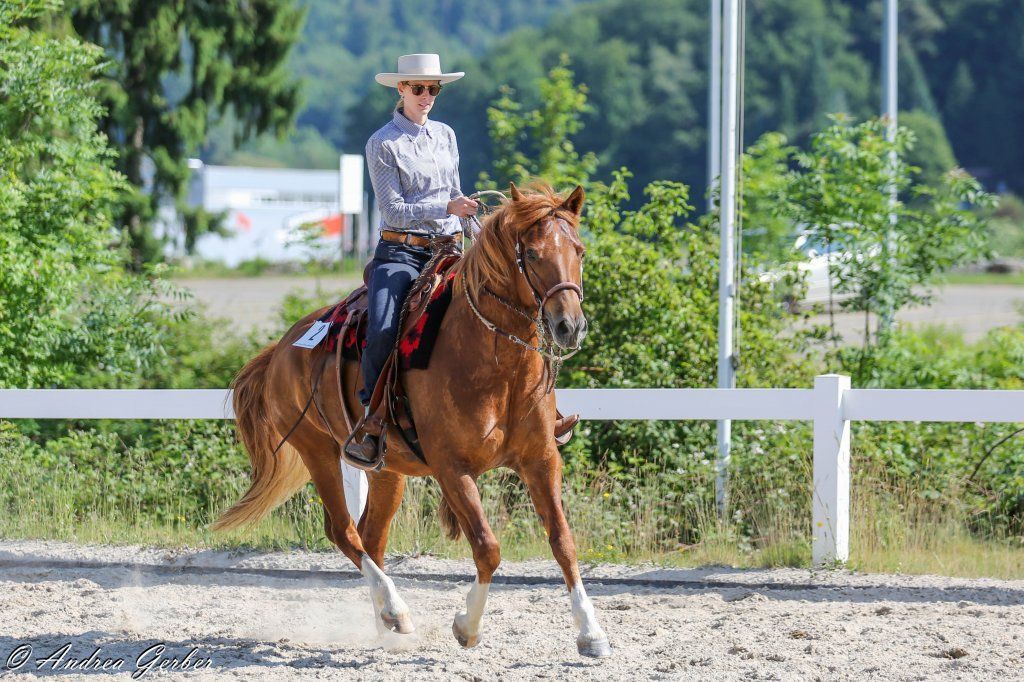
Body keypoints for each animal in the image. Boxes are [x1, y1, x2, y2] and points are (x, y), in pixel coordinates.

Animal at [211, 181, 610, 658]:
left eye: (580, 251)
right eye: (530, 254)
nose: (570, 326)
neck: (493, 362)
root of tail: (282, 349)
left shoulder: (541, 459)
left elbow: (564, 542)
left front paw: (591, 632)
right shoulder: (452, 469)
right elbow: (487, 548)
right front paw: (466, 626)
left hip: (387, 471)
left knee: (371, 537)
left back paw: (386, 623)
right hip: (318, 451)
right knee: (344, 532)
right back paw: (396, 611)